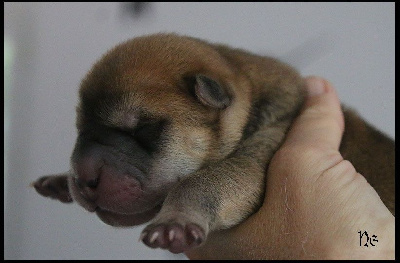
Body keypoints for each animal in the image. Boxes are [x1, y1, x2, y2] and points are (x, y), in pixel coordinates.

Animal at [32, 32, 396, 254]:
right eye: (79, 129)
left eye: (143, 130)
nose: (82, 178)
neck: (250, 92)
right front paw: (60, 179)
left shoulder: (261, 154)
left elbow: (202, 182)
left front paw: (174, 223)